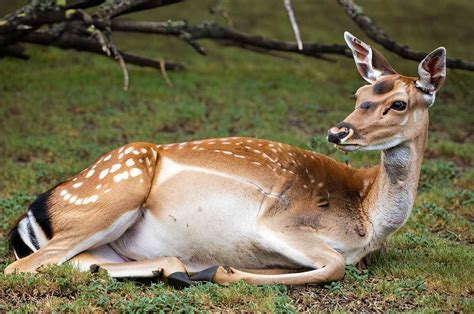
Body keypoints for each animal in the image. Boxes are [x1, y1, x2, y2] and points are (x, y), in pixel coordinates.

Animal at [5, 32, 446, 288]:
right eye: (358, 95)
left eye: (398, 102)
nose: (339, 132)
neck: (368, 222)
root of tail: (31, 215)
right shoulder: (278, 223)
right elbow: (335, 264)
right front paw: (224, 270)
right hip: (114, 192)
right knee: (23, 267)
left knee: (80, 262)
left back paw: (176, 269)